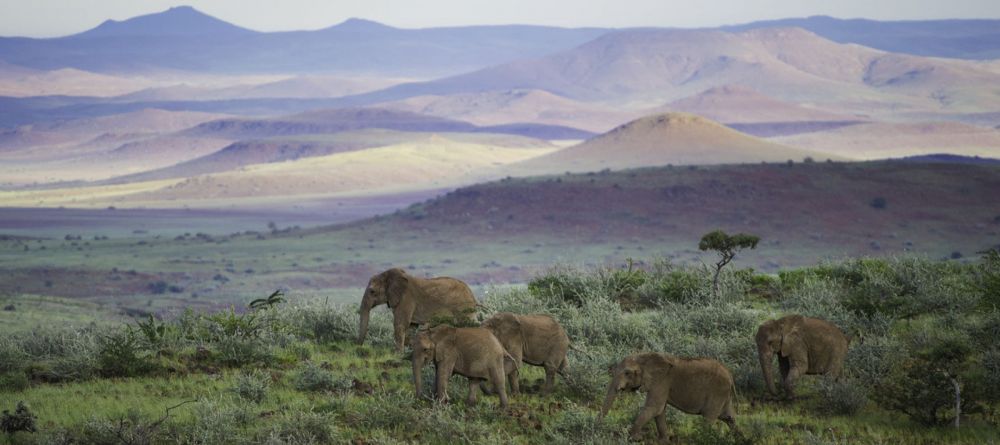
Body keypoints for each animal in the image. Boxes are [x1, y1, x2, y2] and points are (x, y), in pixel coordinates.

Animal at [599, 353, 736, 442]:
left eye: (627, 373)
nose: (598, 428)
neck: (644, 357)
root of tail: (730, 375)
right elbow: (659, 411)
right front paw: (664, 441)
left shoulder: (662, 381)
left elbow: (655, 408)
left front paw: (635, 438)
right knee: (728, 417)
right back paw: (737, 437)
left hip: (717, 392)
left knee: (709, 418)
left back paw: (702, 439)